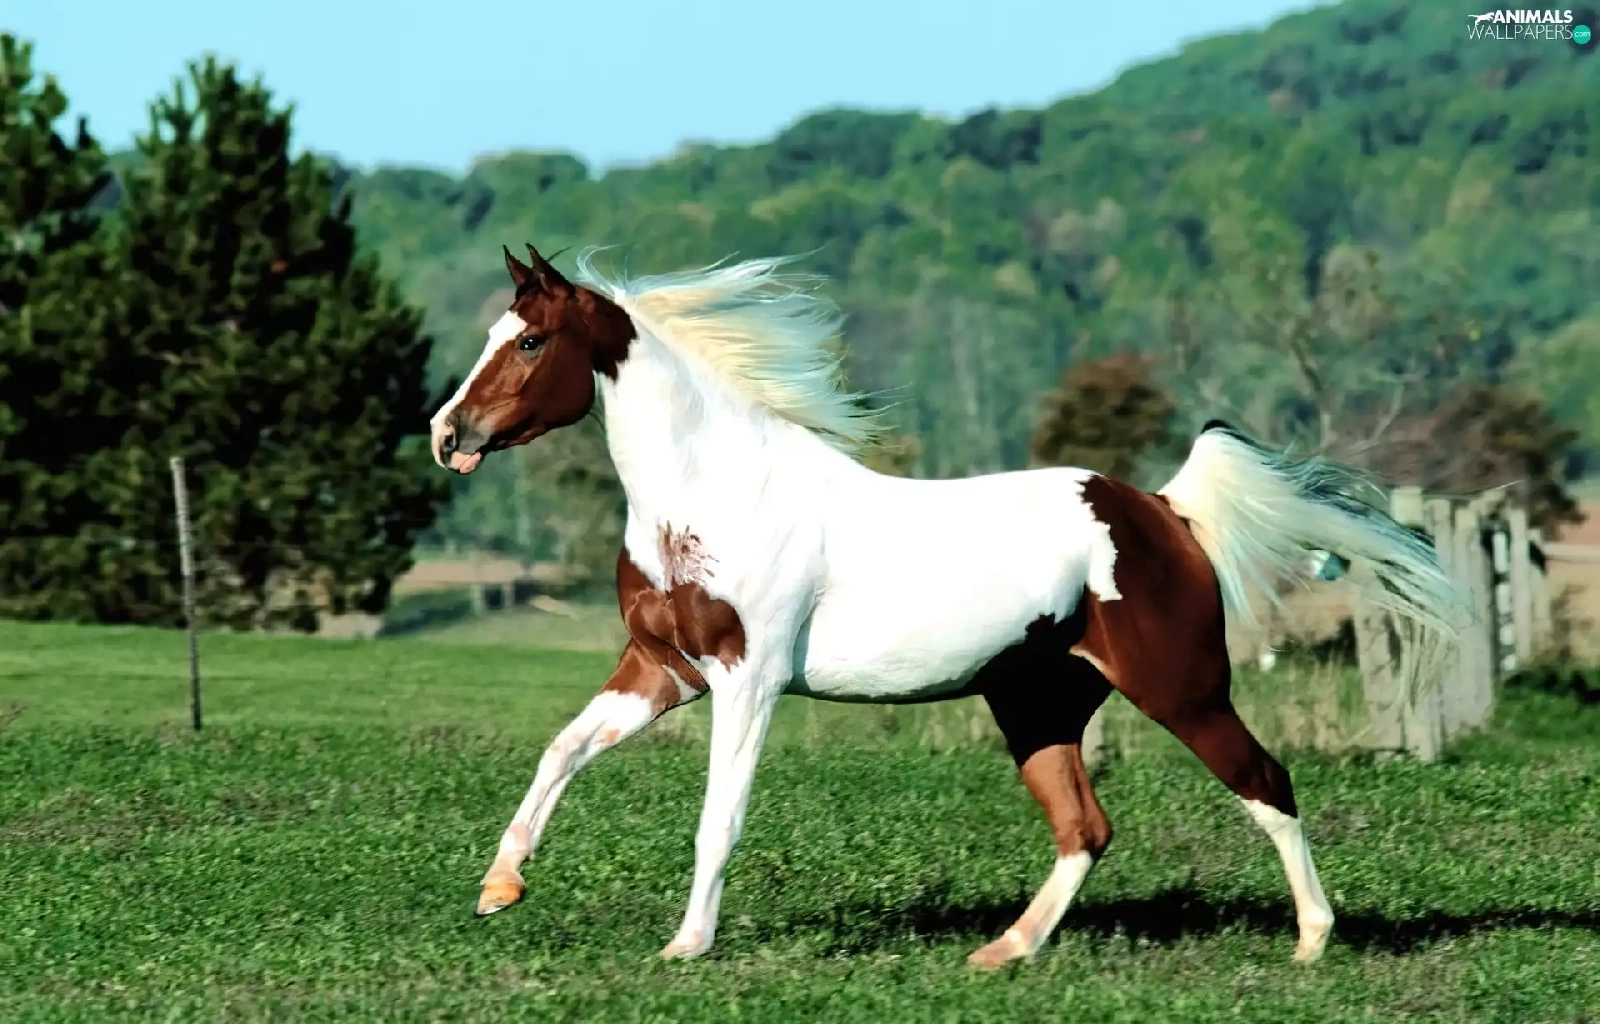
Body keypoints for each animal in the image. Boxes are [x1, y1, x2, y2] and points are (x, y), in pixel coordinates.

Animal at [428, 243, 1463, 968]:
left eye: (529, 340)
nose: (448, 434)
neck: (716, 495)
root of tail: (1165, 511)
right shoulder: (661, 670)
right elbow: (561, 750)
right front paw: (498, 887)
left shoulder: (747, 679)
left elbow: (718, 816)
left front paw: (686, 945)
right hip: (1039, 703)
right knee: (1086, 830)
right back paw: (1003, 952)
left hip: (1183, 689)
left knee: (1266, 784)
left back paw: (1313, 941)